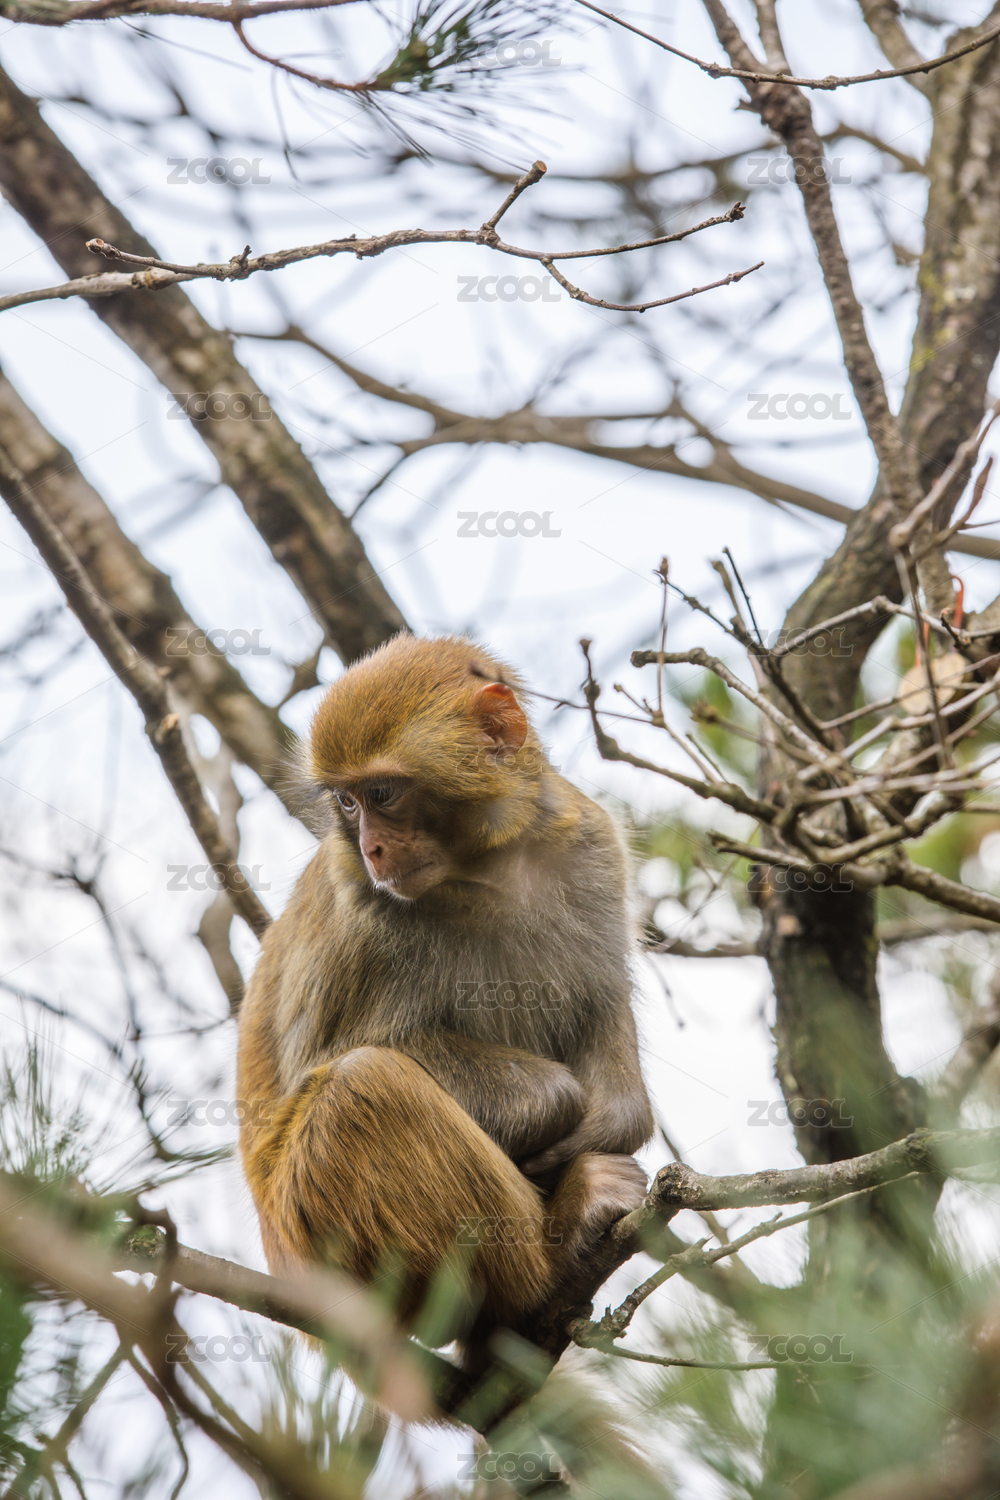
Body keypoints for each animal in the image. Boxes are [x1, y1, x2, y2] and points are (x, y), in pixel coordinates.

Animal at [237, 634, 654, 1352]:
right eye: (346, 804)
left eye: (382, 793)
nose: (371, 850)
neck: (484, 869)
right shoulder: (361, 916)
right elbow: (321, 1063)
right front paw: (556, 1102)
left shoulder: (591, 845)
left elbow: (601, 1004)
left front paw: (614, 1119)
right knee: (358, 1087)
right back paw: (557, 1245)